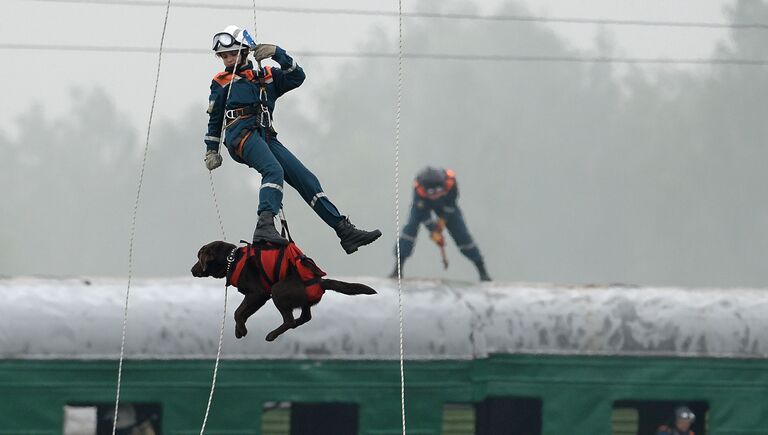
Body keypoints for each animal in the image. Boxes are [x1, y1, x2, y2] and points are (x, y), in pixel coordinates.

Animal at [192, 242, 378, 340]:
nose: (192, 270)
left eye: (199, 257)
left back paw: (272, 335)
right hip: (298, 299)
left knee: (289, 320)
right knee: (304, 317)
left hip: (278, 290)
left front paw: (242, 331)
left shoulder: (258, 294)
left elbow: (238, 312)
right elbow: (242, 313)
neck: (232, 260)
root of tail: (320, 281)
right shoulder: (257, 298)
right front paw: (239, 330)